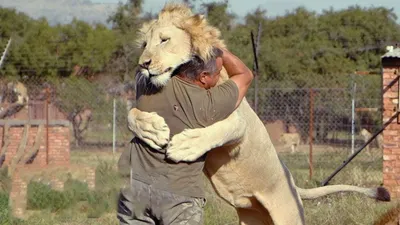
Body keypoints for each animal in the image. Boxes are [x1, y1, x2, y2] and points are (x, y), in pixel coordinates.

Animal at [127, 2, 390, 224]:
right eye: (144, 44)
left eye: (164, 40)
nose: (143, 64)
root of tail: (292, 182)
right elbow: (132, 114)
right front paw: (151, 130)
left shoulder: (236, 117)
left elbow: (220, 129)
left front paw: (185, 145)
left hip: (289, 216)